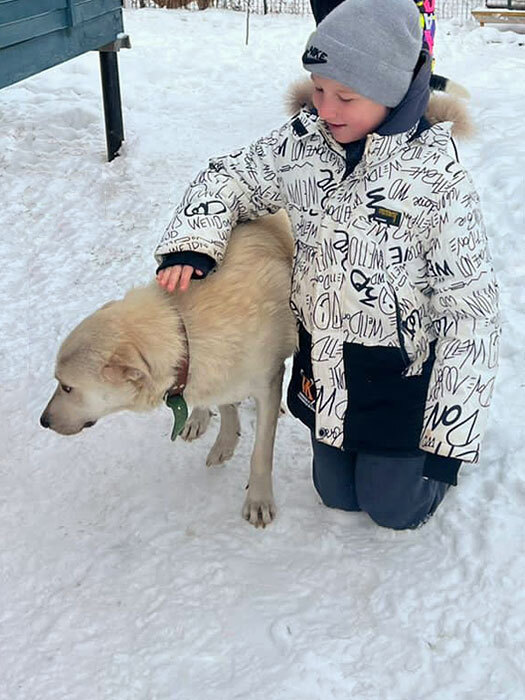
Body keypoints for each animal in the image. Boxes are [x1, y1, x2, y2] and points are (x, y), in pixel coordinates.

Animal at [41, 213, 294, 524]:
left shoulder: (263, 381)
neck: (184, 330)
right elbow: (225, 406)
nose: (43, 421)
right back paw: (198, 417)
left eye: (67, 387)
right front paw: (225, 441)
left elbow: (260, 453)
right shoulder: (215, 371)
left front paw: (258, 498)